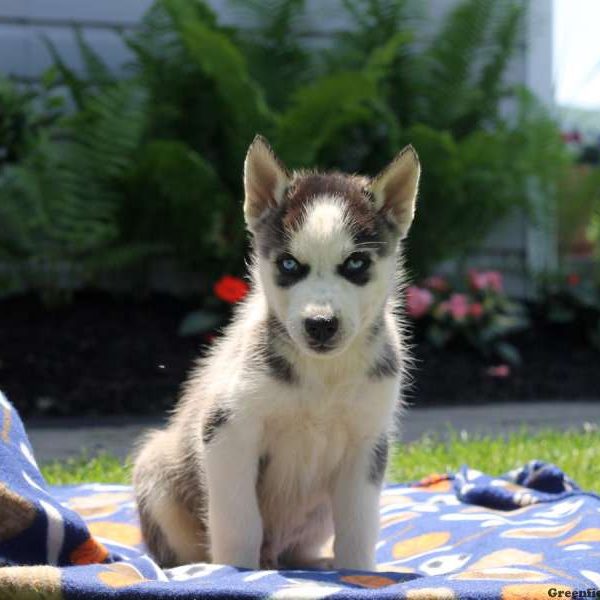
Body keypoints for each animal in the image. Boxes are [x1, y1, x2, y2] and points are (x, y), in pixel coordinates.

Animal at [133, 137, 420, 572]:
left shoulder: (367, 441)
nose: (320, 324)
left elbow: (357, 527)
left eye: (356, 263)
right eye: (289, 264)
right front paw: (235, 573)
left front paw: (359, 574)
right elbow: (239, 524)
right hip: (156, 467)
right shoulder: (228, 429)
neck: (323, 375)